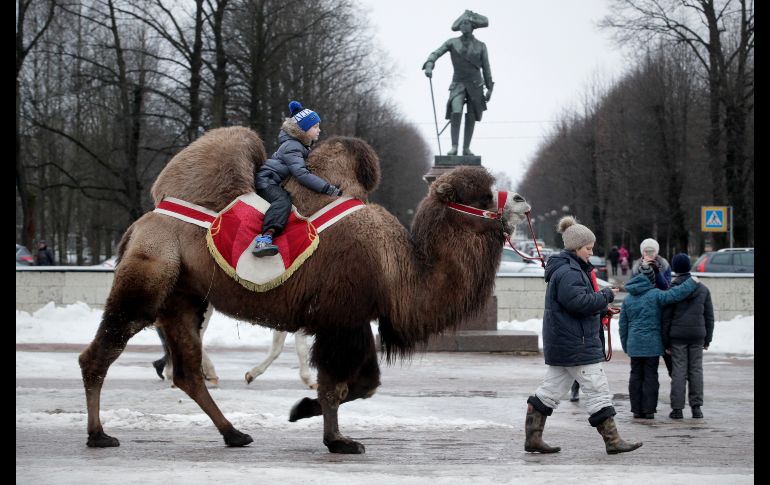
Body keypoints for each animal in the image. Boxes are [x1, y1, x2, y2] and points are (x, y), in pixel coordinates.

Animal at [78, 126, 530, 453]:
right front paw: (338, 440)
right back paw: (99, 435)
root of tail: (141, 222)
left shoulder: (351, 322)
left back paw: (234, 433)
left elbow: (364, 384)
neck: (400, 268)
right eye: (481, 195)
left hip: (184, 299)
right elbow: (338, 385)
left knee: (187, 372)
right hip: (149, 276)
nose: (523, 200)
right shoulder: (341, 320)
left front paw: (301, 410)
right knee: (101, 351)